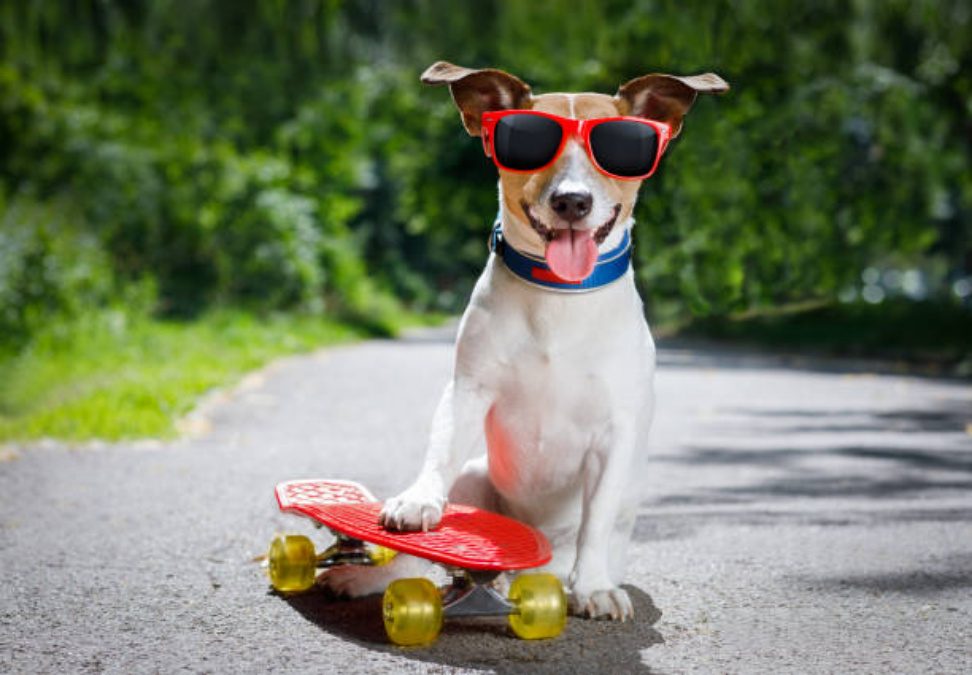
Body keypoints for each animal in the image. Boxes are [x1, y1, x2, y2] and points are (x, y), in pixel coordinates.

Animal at [320, 60, 728, 620]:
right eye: (530, 140)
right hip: (475, 479)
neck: (559, 296)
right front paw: (417, 500)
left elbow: (596, 519)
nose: (572, 201)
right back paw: (368, 577)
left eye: (619, 148)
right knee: (424, 548)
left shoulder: (615, 434)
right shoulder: (468, 391)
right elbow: (438, 456)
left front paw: (594, 588)